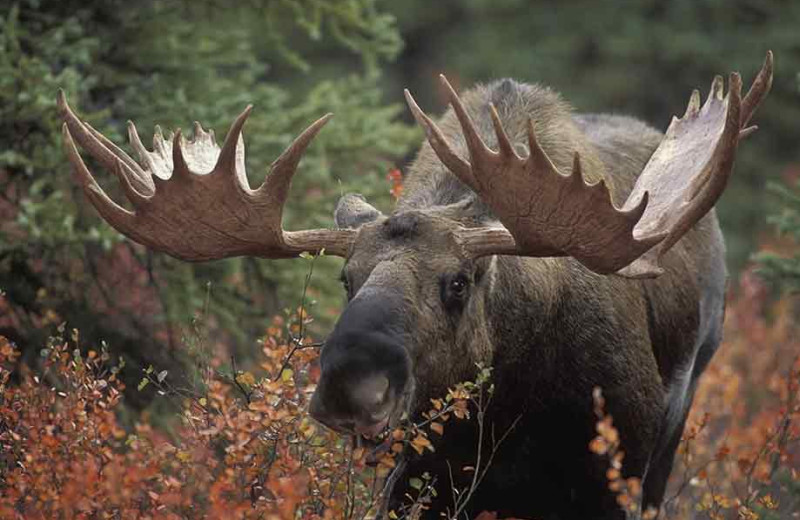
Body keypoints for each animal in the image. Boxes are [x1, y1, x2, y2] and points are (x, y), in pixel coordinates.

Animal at [57, 50, 776, 516]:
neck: (510, 404)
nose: (351, 385)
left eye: (458, 282)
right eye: (345, 278)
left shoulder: (620, 465)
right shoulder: (414, 482)